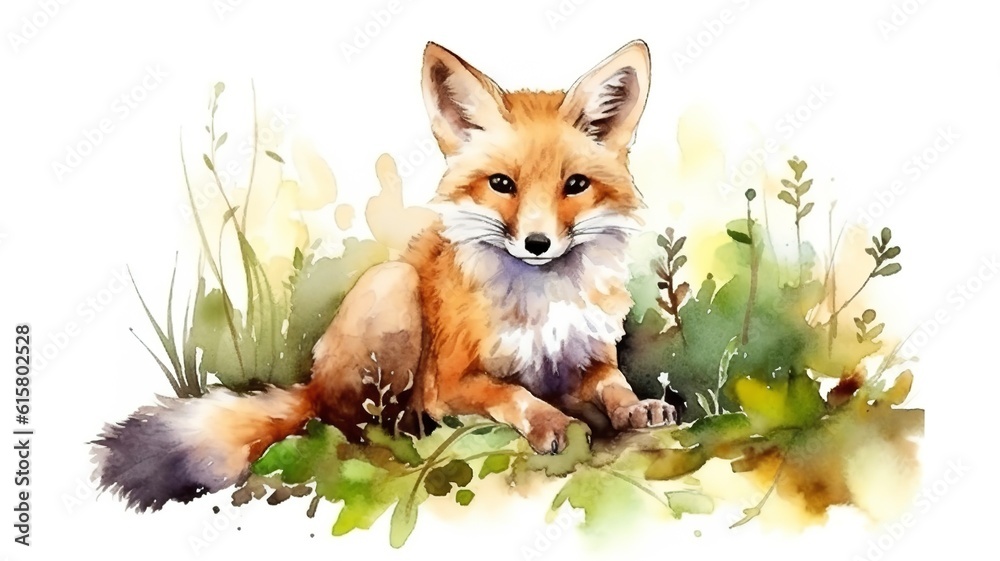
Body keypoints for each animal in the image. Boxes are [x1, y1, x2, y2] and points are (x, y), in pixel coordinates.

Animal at [91, 39, 678, 512]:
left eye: (575, 185)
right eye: (501, 184)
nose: (537, 244)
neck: (545, 301)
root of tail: (311, 380)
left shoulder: (589, 358)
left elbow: (615, 386)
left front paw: (637, 408)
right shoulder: (452, 382)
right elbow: (513, 394)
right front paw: (549, 421)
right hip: (394, 288)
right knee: (346, 419)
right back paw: (398, 432)